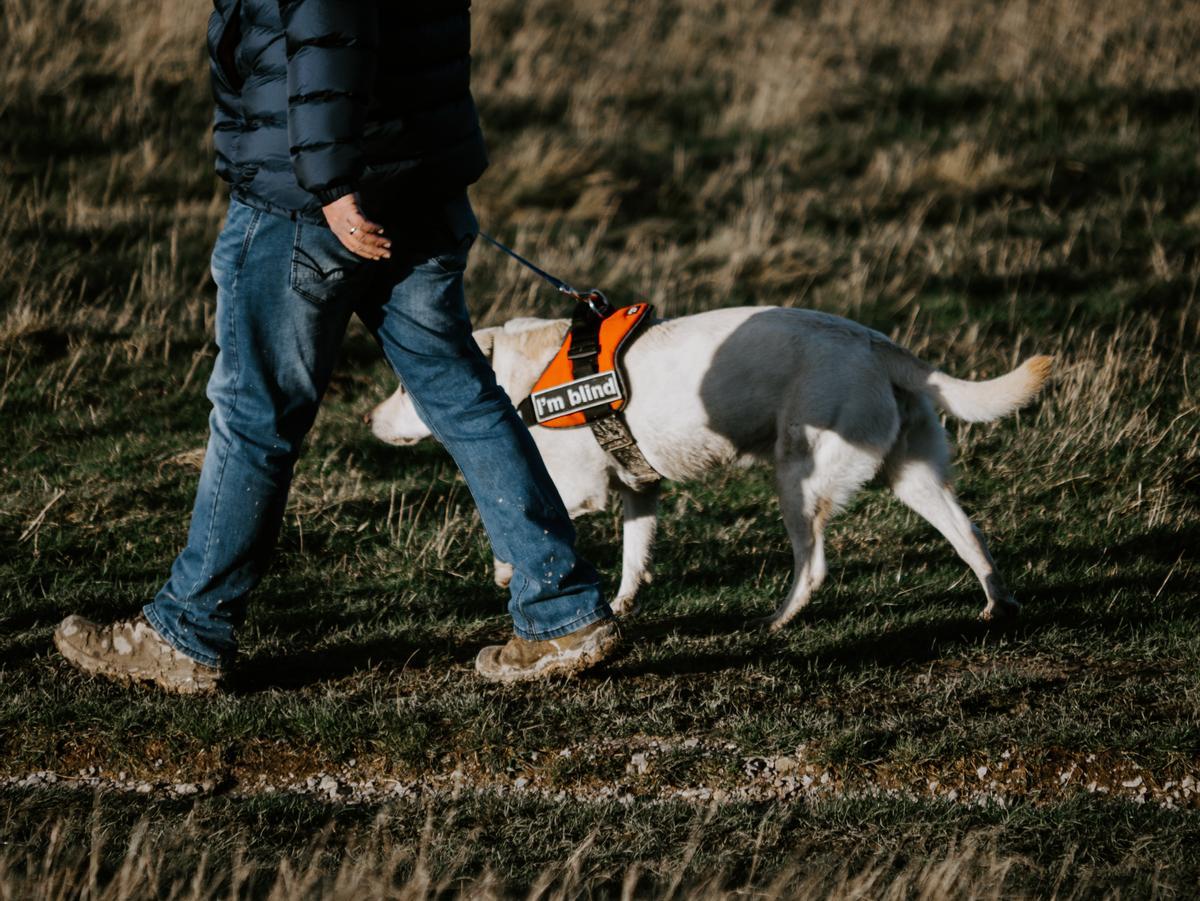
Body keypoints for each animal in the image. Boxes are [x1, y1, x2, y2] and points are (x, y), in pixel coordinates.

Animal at [367, 307, 1051, 628]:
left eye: (404, 386)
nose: (369, 420)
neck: (518, 377)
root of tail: (877, 343)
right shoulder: (639, 491)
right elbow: (634, 557)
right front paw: (620, 605)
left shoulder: (577, 488)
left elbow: (512, 519)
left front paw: (508, 570)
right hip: (913, 475)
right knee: (971, 536)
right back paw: (998, 604)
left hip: (798, 478)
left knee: (813, 565)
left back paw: (778, 619)